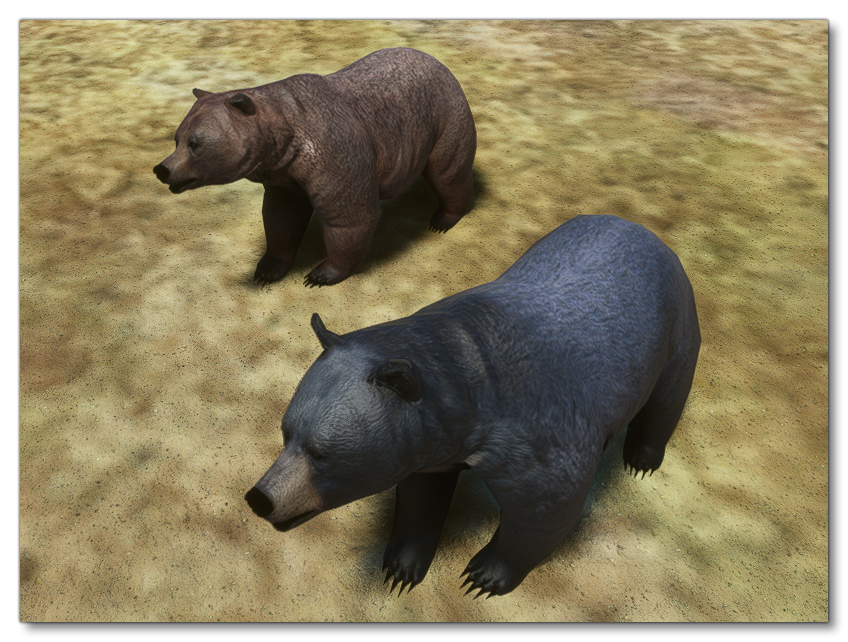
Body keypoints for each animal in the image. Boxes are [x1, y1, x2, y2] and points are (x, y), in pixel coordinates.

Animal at [153, 47, 476, 287]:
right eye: (177, 138)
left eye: (195, 143)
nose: (162, 169)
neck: (286, 142)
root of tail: (436, 60)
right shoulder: (284, 177)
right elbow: (281, 217)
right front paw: (267, 269)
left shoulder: (335, 154)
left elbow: (350, 217)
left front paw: (320, 274)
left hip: (445, 117)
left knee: (448, 171)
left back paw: (443, 219)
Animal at [244, 215, 701, 597]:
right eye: (287, 433)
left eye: (321, 452)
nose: (259, 498)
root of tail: (641, 229)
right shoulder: (431, 444)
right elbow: (420, 498)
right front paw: (400, 567)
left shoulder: (539, 430)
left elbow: (545, 509)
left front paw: (483, 574)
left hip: (674, 327)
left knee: (668, 395)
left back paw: (642, 458)